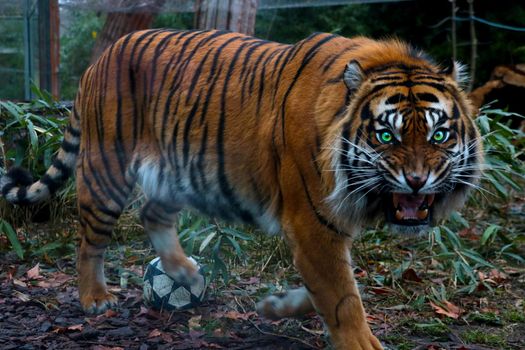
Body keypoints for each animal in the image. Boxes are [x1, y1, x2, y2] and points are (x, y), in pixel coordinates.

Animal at [1, 28, 484, 348]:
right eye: (387, 136)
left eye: (439, 135)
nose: (417, 181)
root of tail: (102, 57)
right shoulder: (313, 224)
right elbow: (343, 297)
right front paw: (361, 343)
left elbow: (328, 291)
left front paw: (276, 306)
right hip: (107, 170)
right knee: (89, 241)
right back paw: (95, 298)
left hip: (179, 170)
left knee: (151, 213)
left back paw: (185, 273)